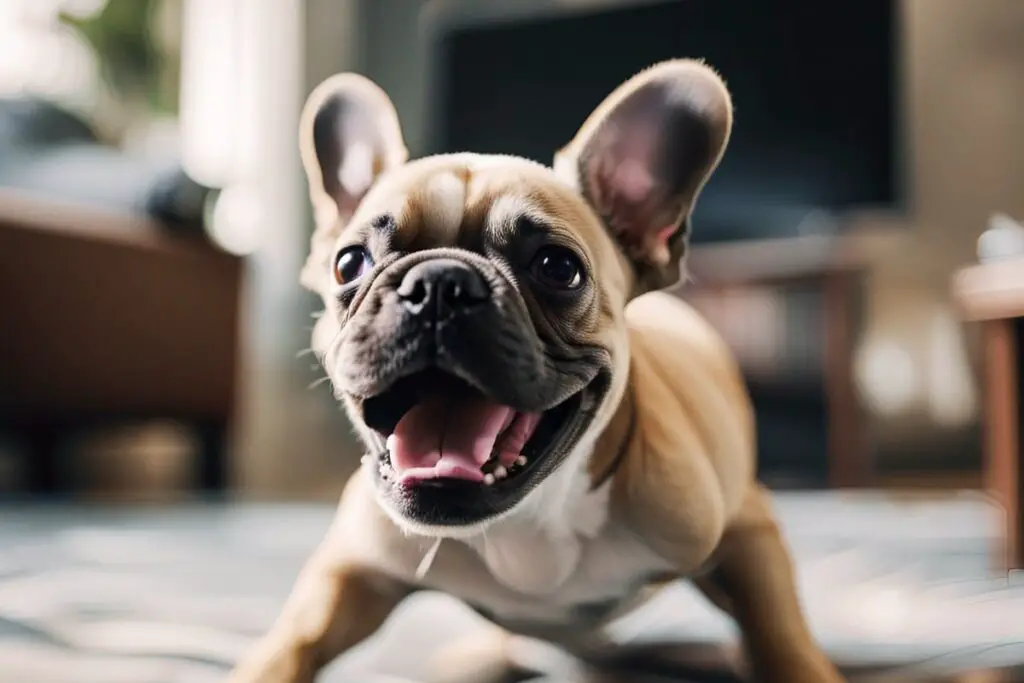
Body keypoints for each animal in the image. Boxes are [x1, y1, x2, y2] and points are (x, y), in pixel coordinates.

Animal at [232, 60, 847, 683]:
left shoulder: (742, 530)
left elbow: (780, 636)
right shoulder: (356, 567)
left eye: (558, 267)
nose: (439, 284)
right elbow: (296, 638)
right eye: (349, 263)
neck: (528, 521)